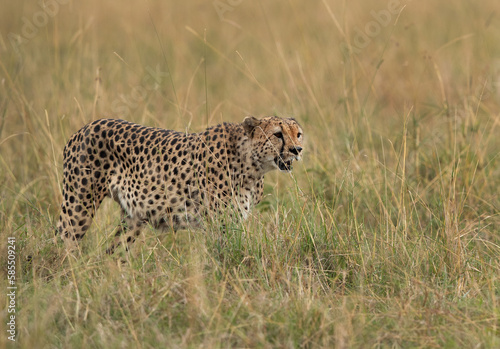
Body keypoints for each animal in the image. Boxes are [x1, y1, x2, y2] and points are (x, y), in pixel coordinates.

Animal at [56, 115, 302, 251]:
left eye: (298, 134)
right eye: (278, 134)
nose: (297, 150)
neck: (252, 163)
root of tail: (86, 126)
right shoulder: (220, 225)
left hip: (132, 218)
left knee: (114, 253)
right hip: (78, 208)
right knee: (62, 245)